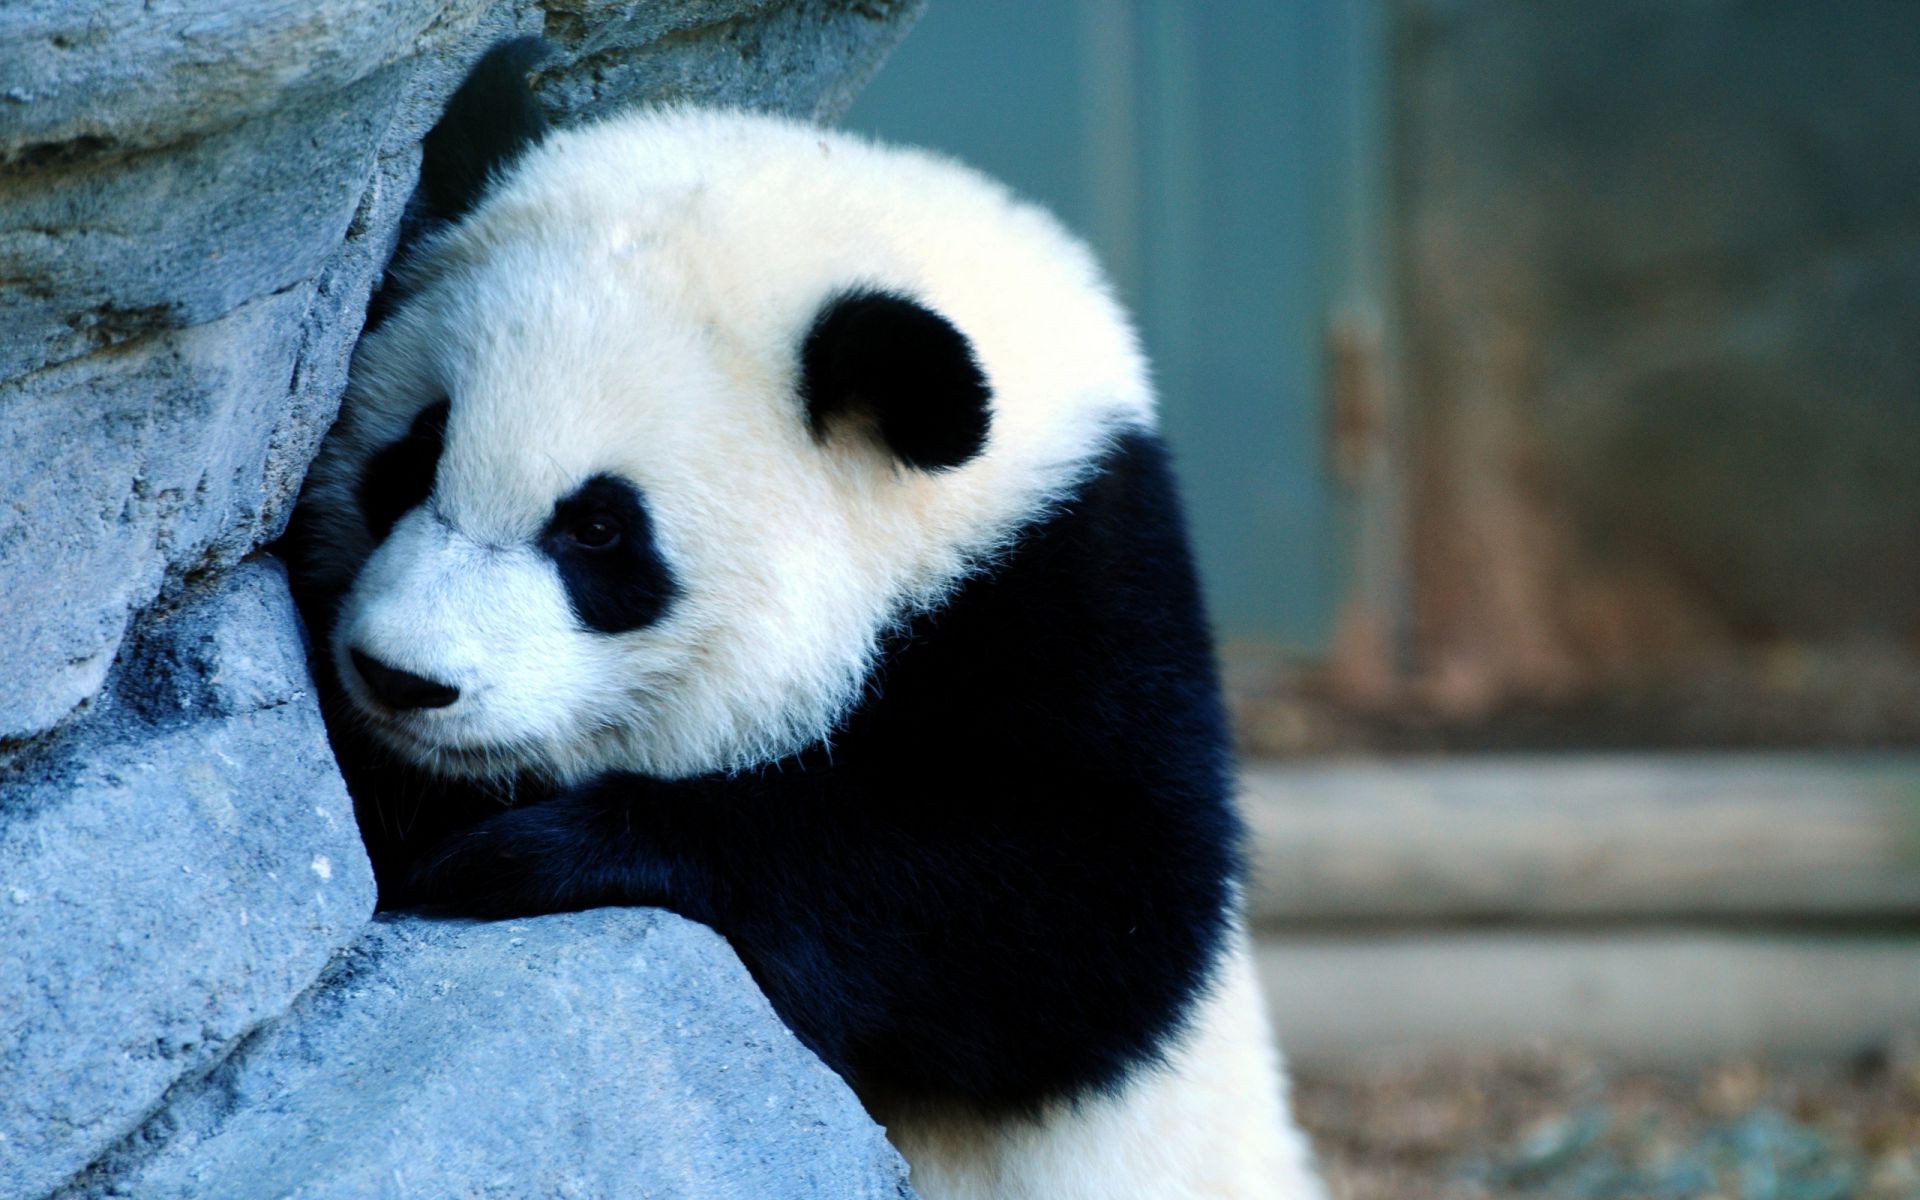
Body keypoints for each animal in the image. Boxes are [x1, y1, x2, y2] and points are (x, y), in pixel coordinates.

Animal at [291, 37, 1328, 1198]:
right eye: (414, 457)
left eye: (599, 533)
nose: (401, 677)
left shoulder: (1071, 583)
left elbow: (1088, 911)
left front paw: (521, 854)